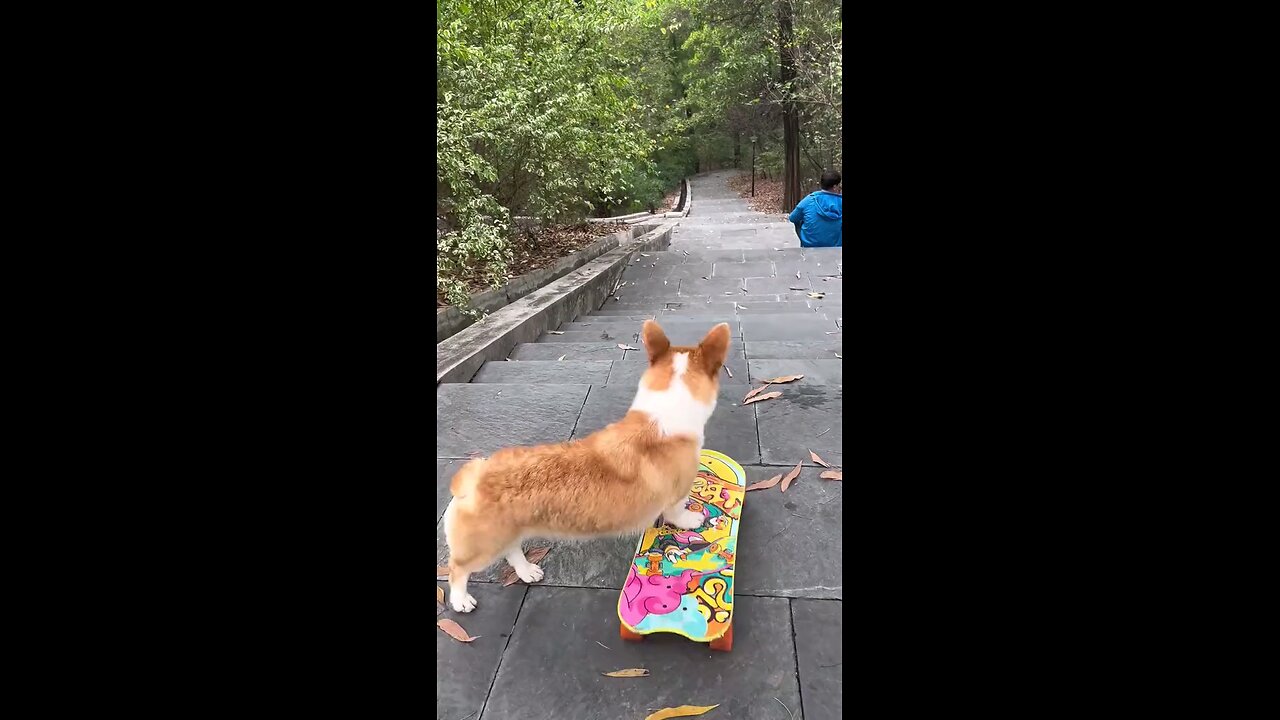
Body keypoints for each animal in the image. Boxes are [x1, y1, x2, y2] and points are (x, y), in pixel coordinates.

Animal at [445, 319, 732, 609]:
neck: (663, 413)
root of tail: (473, 478)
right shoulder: (675, 496)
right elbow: (677, 513)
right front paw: (692, 519)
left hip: (508, 534)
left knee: (512, 551)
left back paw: (527, 571)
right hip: (482, 548)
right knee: (457, 569)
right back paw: (461, 600)